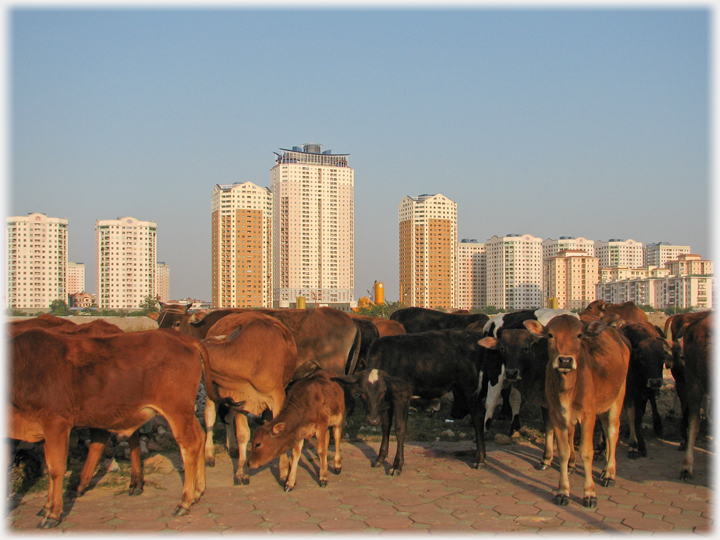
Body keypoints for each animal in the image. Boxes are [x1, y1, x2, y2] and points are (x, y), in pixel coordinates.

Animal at [11, 326, 240, 524]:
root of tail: (185, 339)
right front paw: (47, 506)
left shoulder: (56, 424)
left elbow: (56, 469)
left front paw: (52, 513)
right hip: (182, 412)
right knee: (200, 436)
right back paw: (198, 491)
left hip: (176, 409)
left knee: (190, 444)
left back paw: (184, 501)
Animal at [198, 312, 296, 486]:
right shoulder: (241, 400)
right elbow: (243, 435)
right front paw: (241, 472)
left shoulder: (277, 396)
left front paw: (285, 471)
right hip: (214, 392)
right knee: (210, 416)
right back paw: (209, 454)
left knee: (226, 415)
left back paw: (231, 447)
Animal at [336, 332, 500, 474]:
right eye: (362, 392)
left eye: (382, 391)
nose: (372, 420)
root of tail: (472, 337)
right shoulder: (387, 403)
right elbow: (385, 427)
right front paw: (380, 458)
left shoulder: (402, 396)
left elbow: (400, 429)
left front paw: (397, 465)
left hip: (471, 387)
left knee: (478, 416)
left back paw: (480, 459)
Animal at [524, 314, 632, 508]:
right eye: (550, 335)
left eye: (579, 335)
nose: (565, 360)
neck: (568, 388)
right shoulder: (556, 415)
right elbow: (564, 452)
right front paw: (563, 492)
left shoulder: (588, 415)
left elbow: (586, 452)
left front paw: (589, 494)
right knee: (606, 431)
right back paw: (604, 470)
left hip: (618, 397)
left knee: (612, 432)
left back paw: (610, 474)